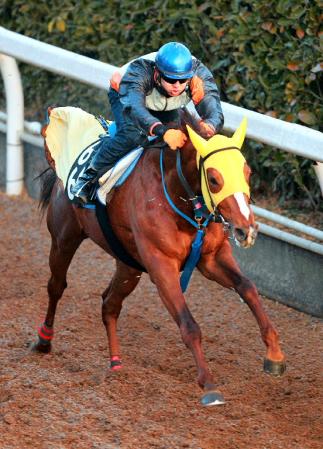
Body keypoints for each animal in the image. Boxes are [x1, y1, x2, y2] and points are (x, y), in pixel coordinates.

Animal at [33, 113, 286, 406]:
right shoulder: (161, 265)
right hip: (64, 238)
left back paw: (116, 363)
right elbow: (189, 324)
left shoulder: (211, 258)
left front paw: (275, 355)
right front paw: (209, 384)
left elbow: (248, 287)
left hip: (128, 264)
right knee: (56, 286)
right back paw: (44, 341)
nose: (247, 229)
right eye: (213, 178)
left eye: (247, 173)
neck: (180, 197)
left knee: (109, 303)